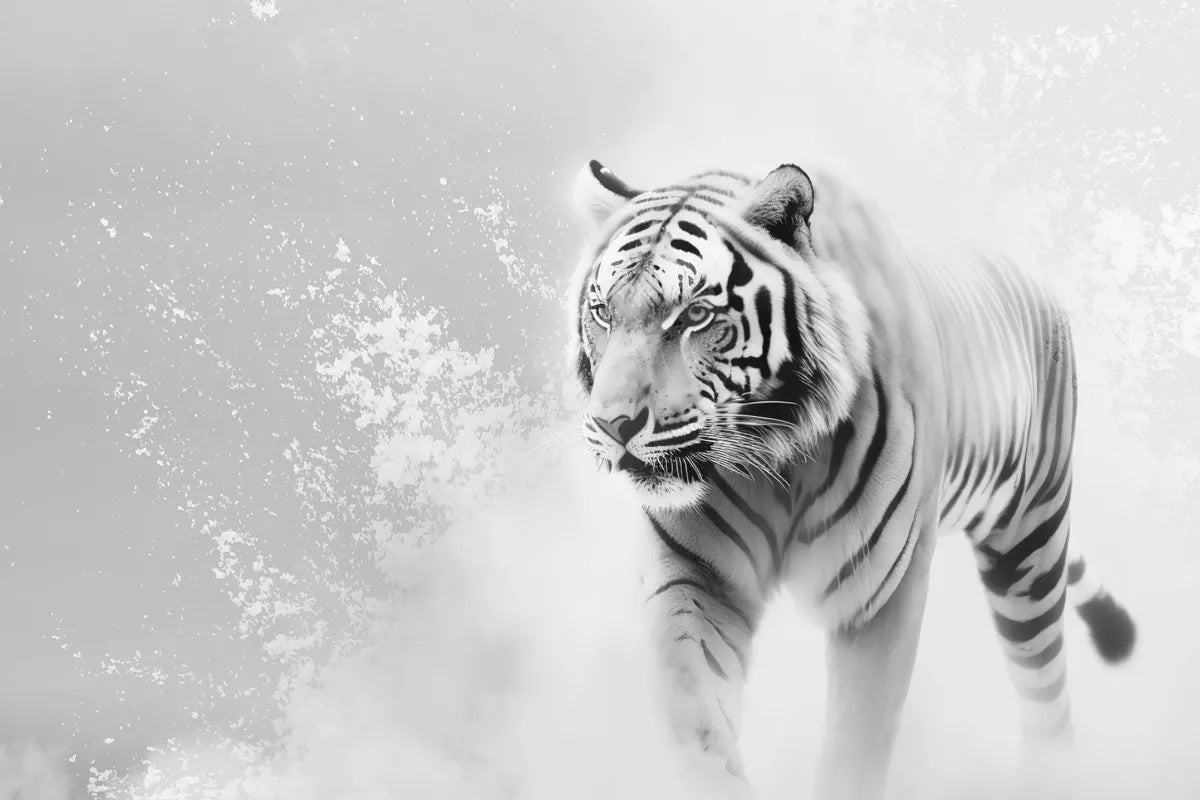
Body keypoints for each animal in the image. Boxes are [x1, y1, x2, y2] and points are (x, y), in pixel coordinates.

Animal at [566, 159, 1137, 799]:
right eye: (603, 312)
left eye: (695, 315)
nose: (613, 425)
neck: (775, 458)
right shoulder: (693, 577)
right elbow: (698, 723)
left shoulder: (880, 593)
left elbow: (856, 745)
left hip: (1030, 549)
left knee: (1047, 701)